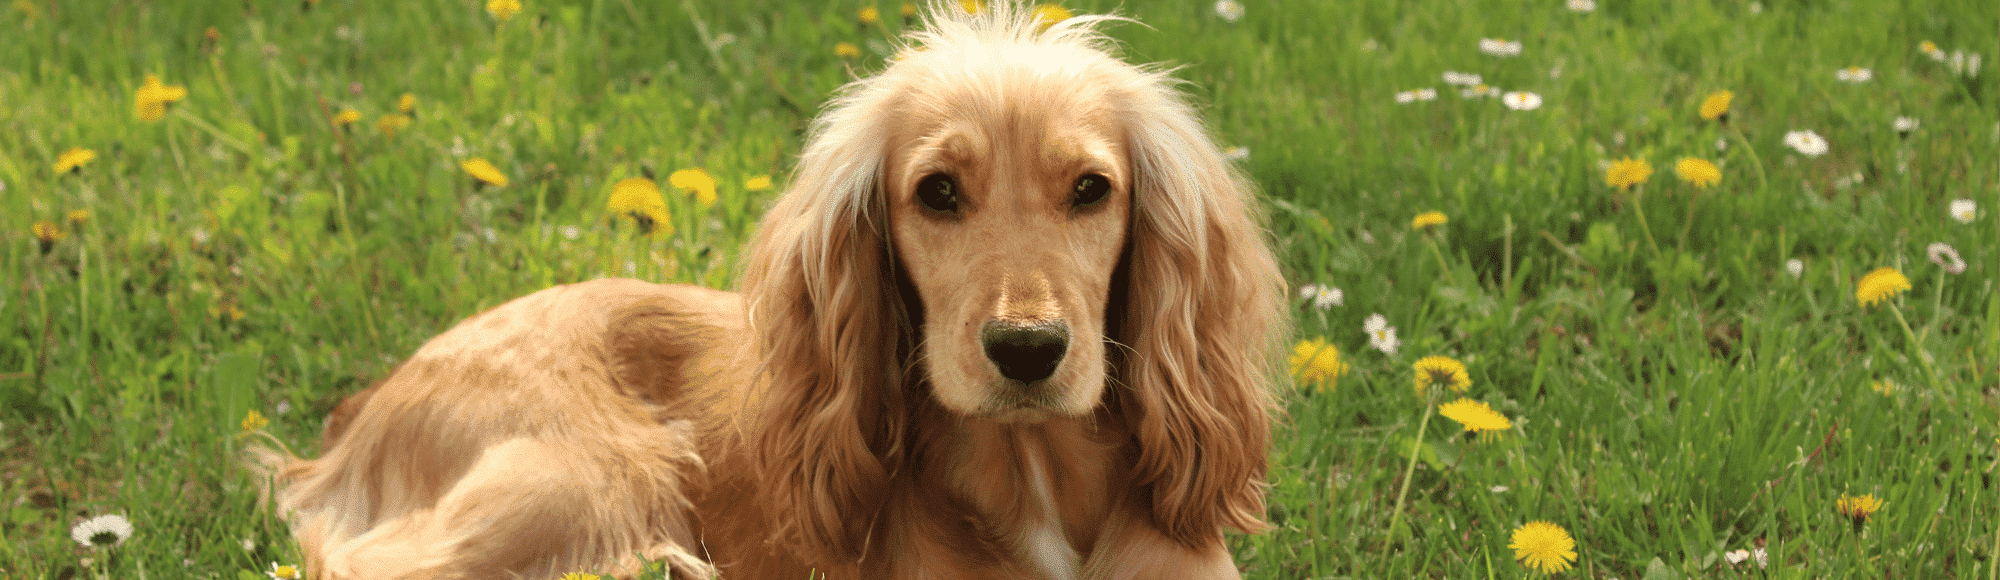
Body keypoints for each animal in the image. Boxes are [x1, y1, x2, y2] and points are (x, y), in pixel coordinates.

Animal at [254, 3, 1280, 576]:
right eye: (937, 193)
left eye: (1091, 190)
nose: (1026, 352)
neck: (1039, 481)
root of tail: (372, 400)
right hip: (594, 472)